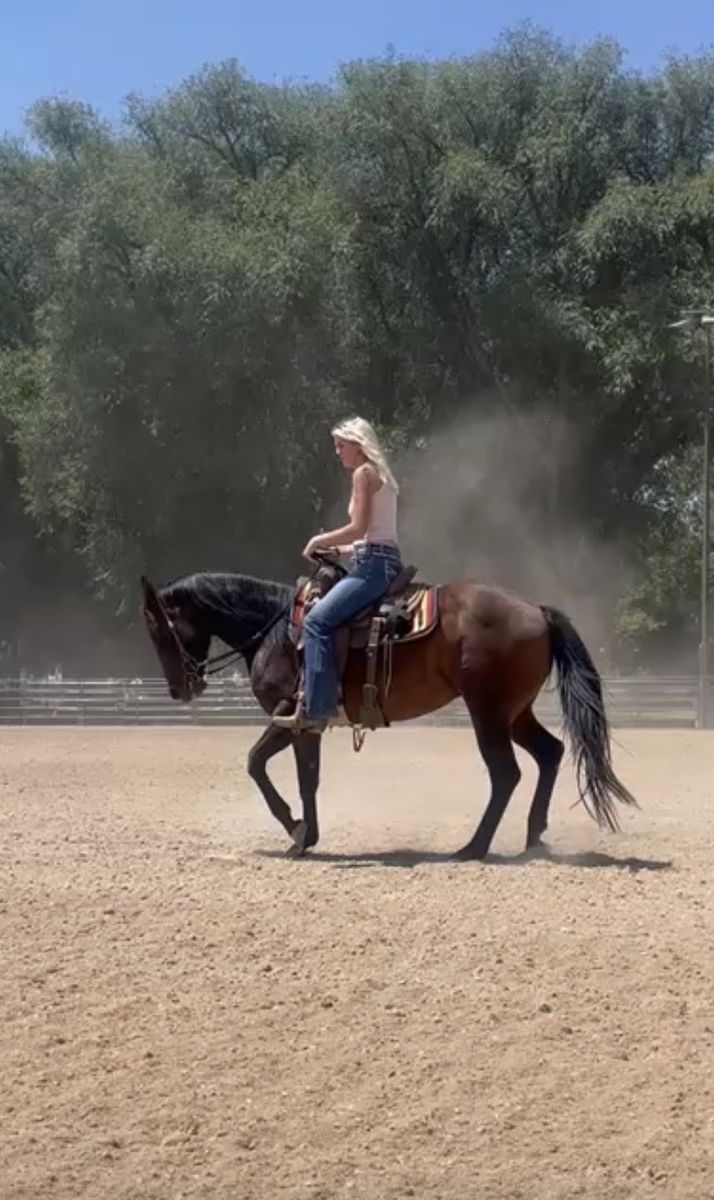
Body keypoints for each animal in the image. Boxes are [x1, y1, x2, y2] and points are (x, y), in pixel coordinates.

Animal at [140, 557, 636, 859]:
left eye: (159, 628)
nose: (179, 690)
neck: (278, 631)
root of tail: (535, 610)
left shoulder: (291, 717)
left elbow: (257, 764)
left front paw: (296, 832)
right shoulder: (308, 726)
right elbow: (307, 779)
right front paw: (308, 833)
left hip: (488, 713)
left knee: (506, 774)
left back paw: (474, 847)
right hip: (516, 713)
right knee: (550, 753)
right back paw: (533, 837)